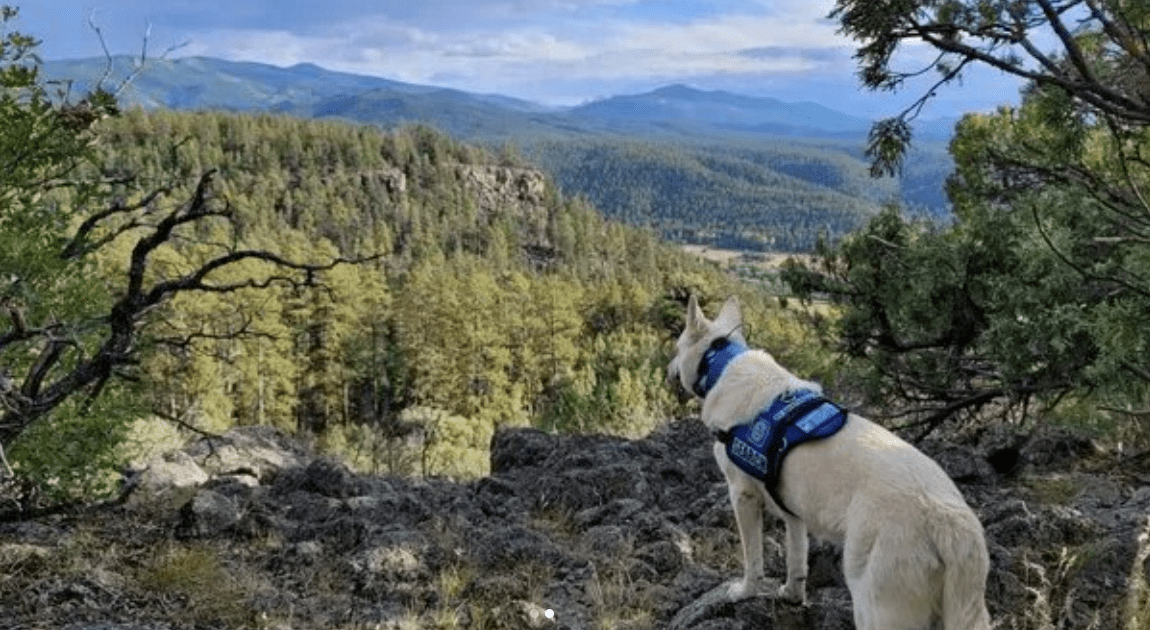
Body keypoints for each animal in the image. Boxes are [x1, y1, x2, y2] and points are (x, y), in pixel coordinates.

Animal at [671, 296, 993, 630]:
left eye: (676, 347)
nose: (670, 370)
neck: (722, 363)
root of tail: (949, 523)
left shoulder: (742, 496)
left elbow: (753, 559)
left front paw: (745, 591)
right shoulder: (793, 512)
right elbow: (796, 559)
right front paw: (792, 595)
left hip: (876, 605)